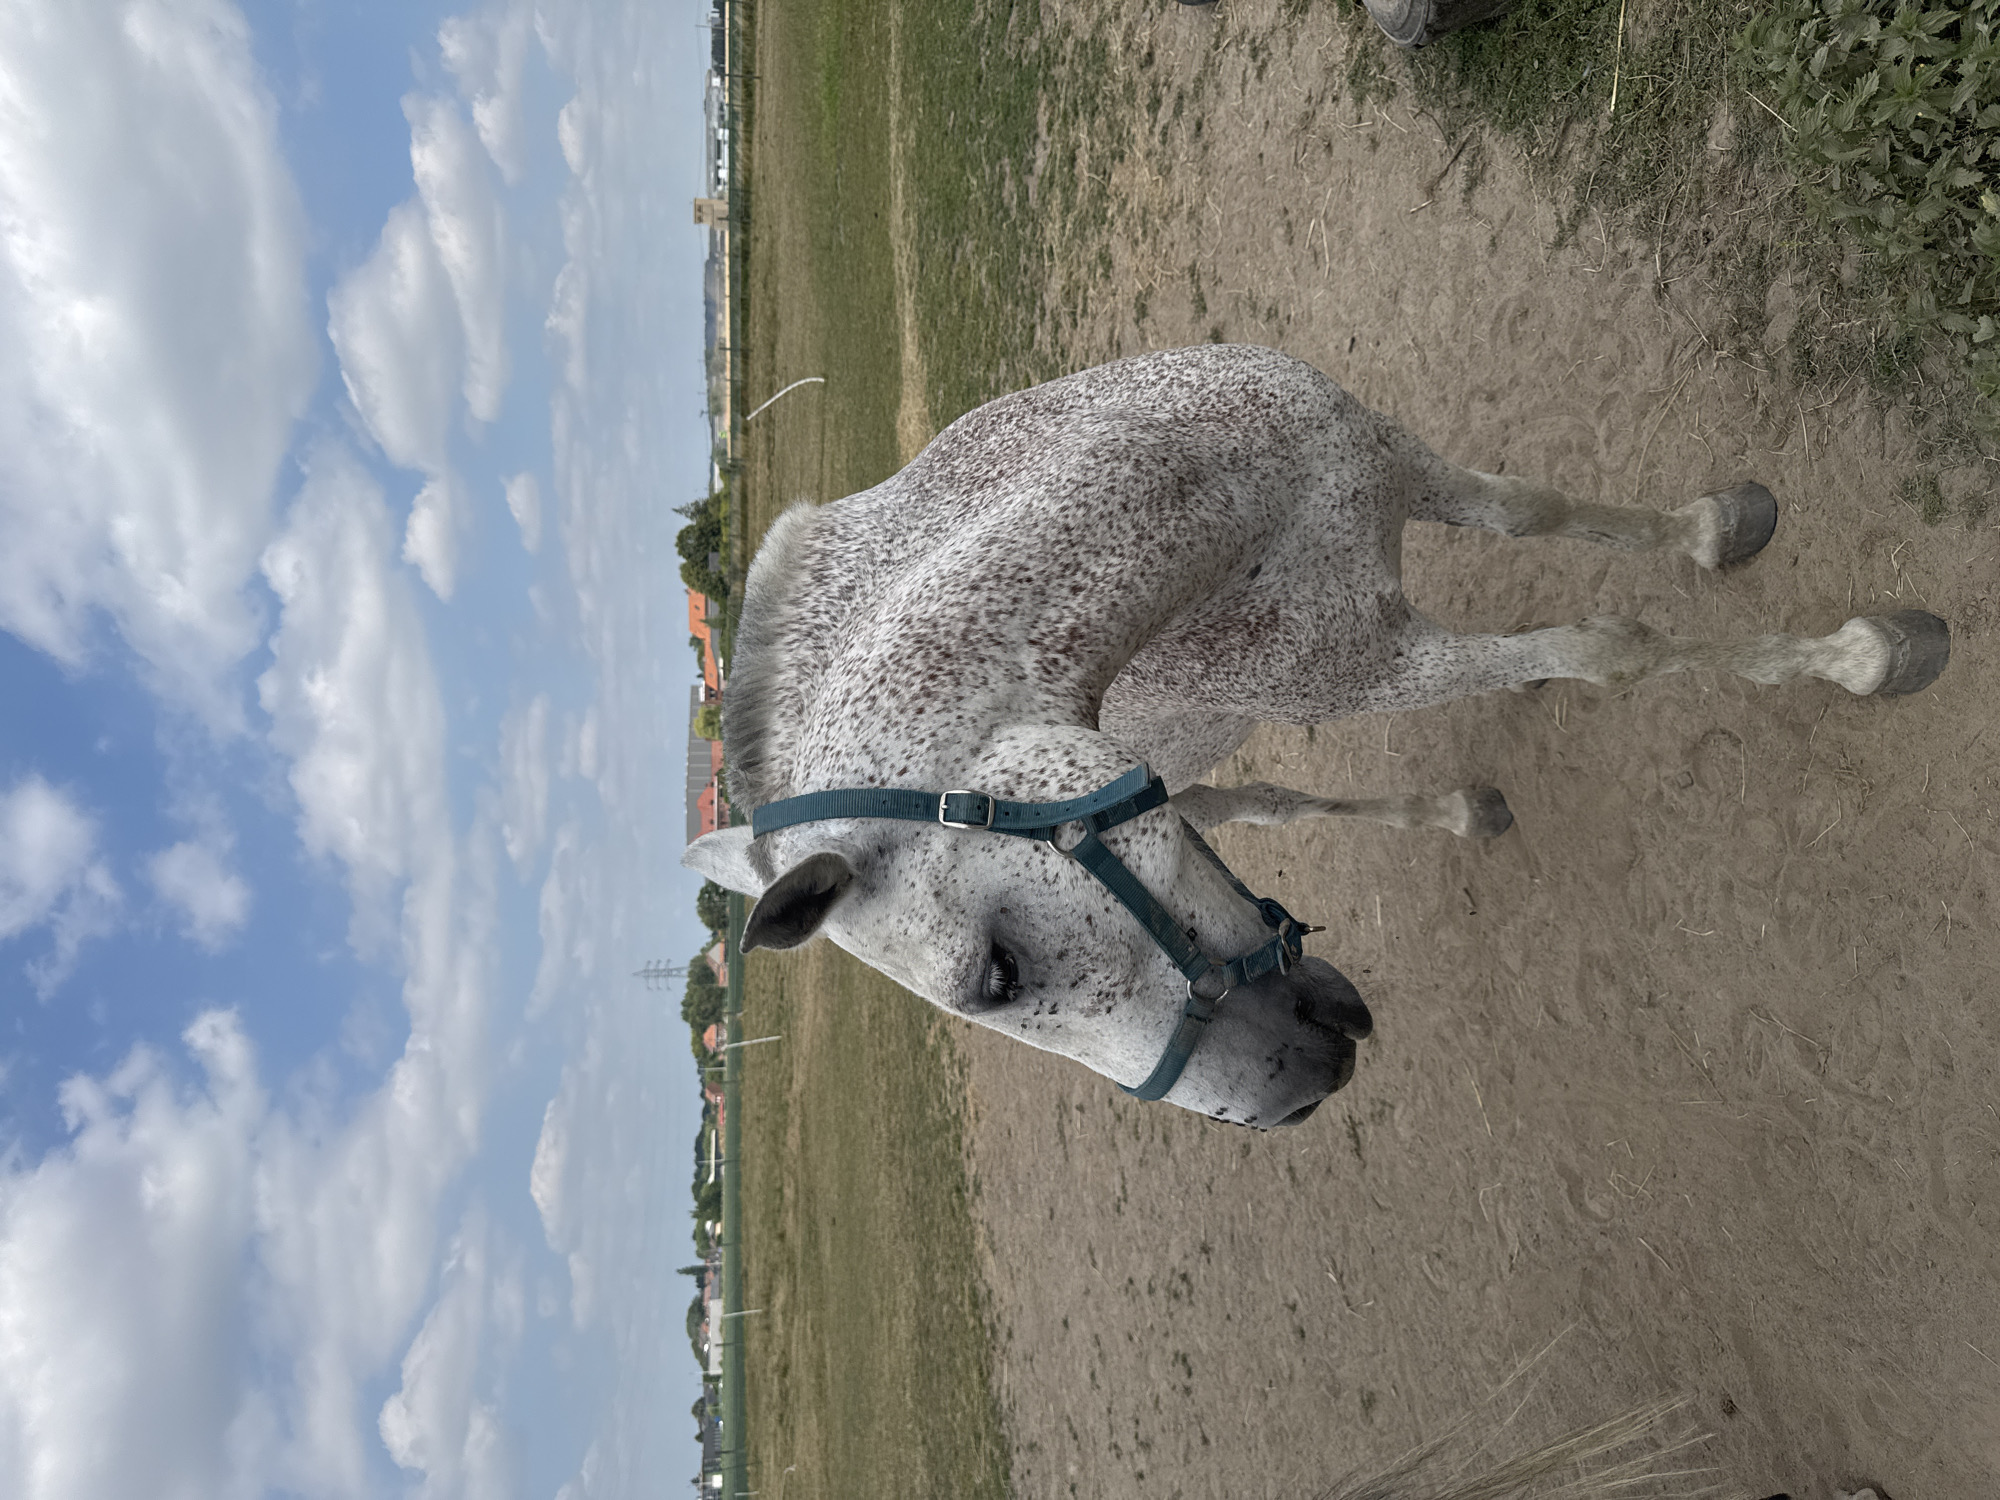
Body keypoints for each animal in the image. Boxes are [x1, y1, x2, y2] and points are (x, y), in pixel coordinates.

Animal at [684, 343, 1949, 1131]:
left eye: (997, 974)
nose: (1291, 1097)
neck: (1213, 499)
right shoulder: (1368, 662)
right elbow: (1604, 651)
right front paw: (1863, 655)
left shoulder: (1390, 458)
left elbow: (1537, 513)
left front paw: (1720, 531)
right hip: (1225, 759)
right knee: (1276, 805)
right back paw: (1457, 812)